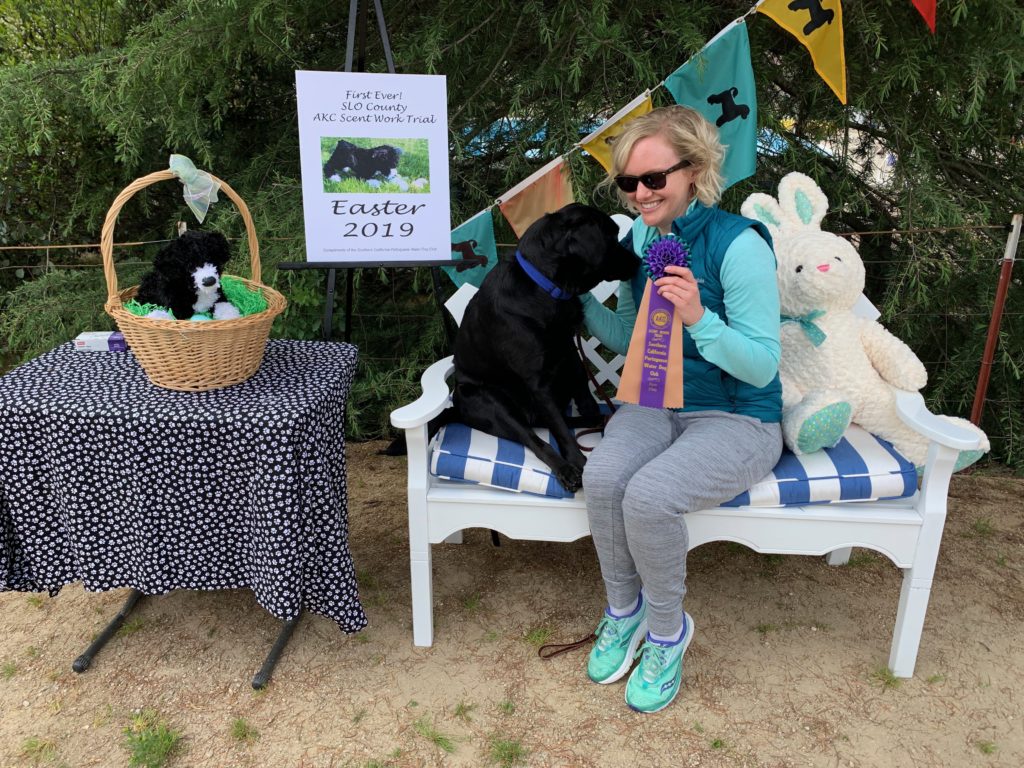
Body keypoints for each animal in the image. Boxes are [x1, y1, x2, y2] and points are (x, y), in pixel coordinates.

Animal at [452, 204, 634, 493]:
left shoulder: (569, 350)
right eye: (612, 236)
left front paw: (592, 415)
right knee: (533, 437)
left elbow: (583, 390)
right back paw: (565, 469)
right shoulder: (537, 382)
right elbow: (558, 430)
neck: (547, 288)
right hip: (491, 402)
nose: (638, 260)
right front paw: (577, 462)